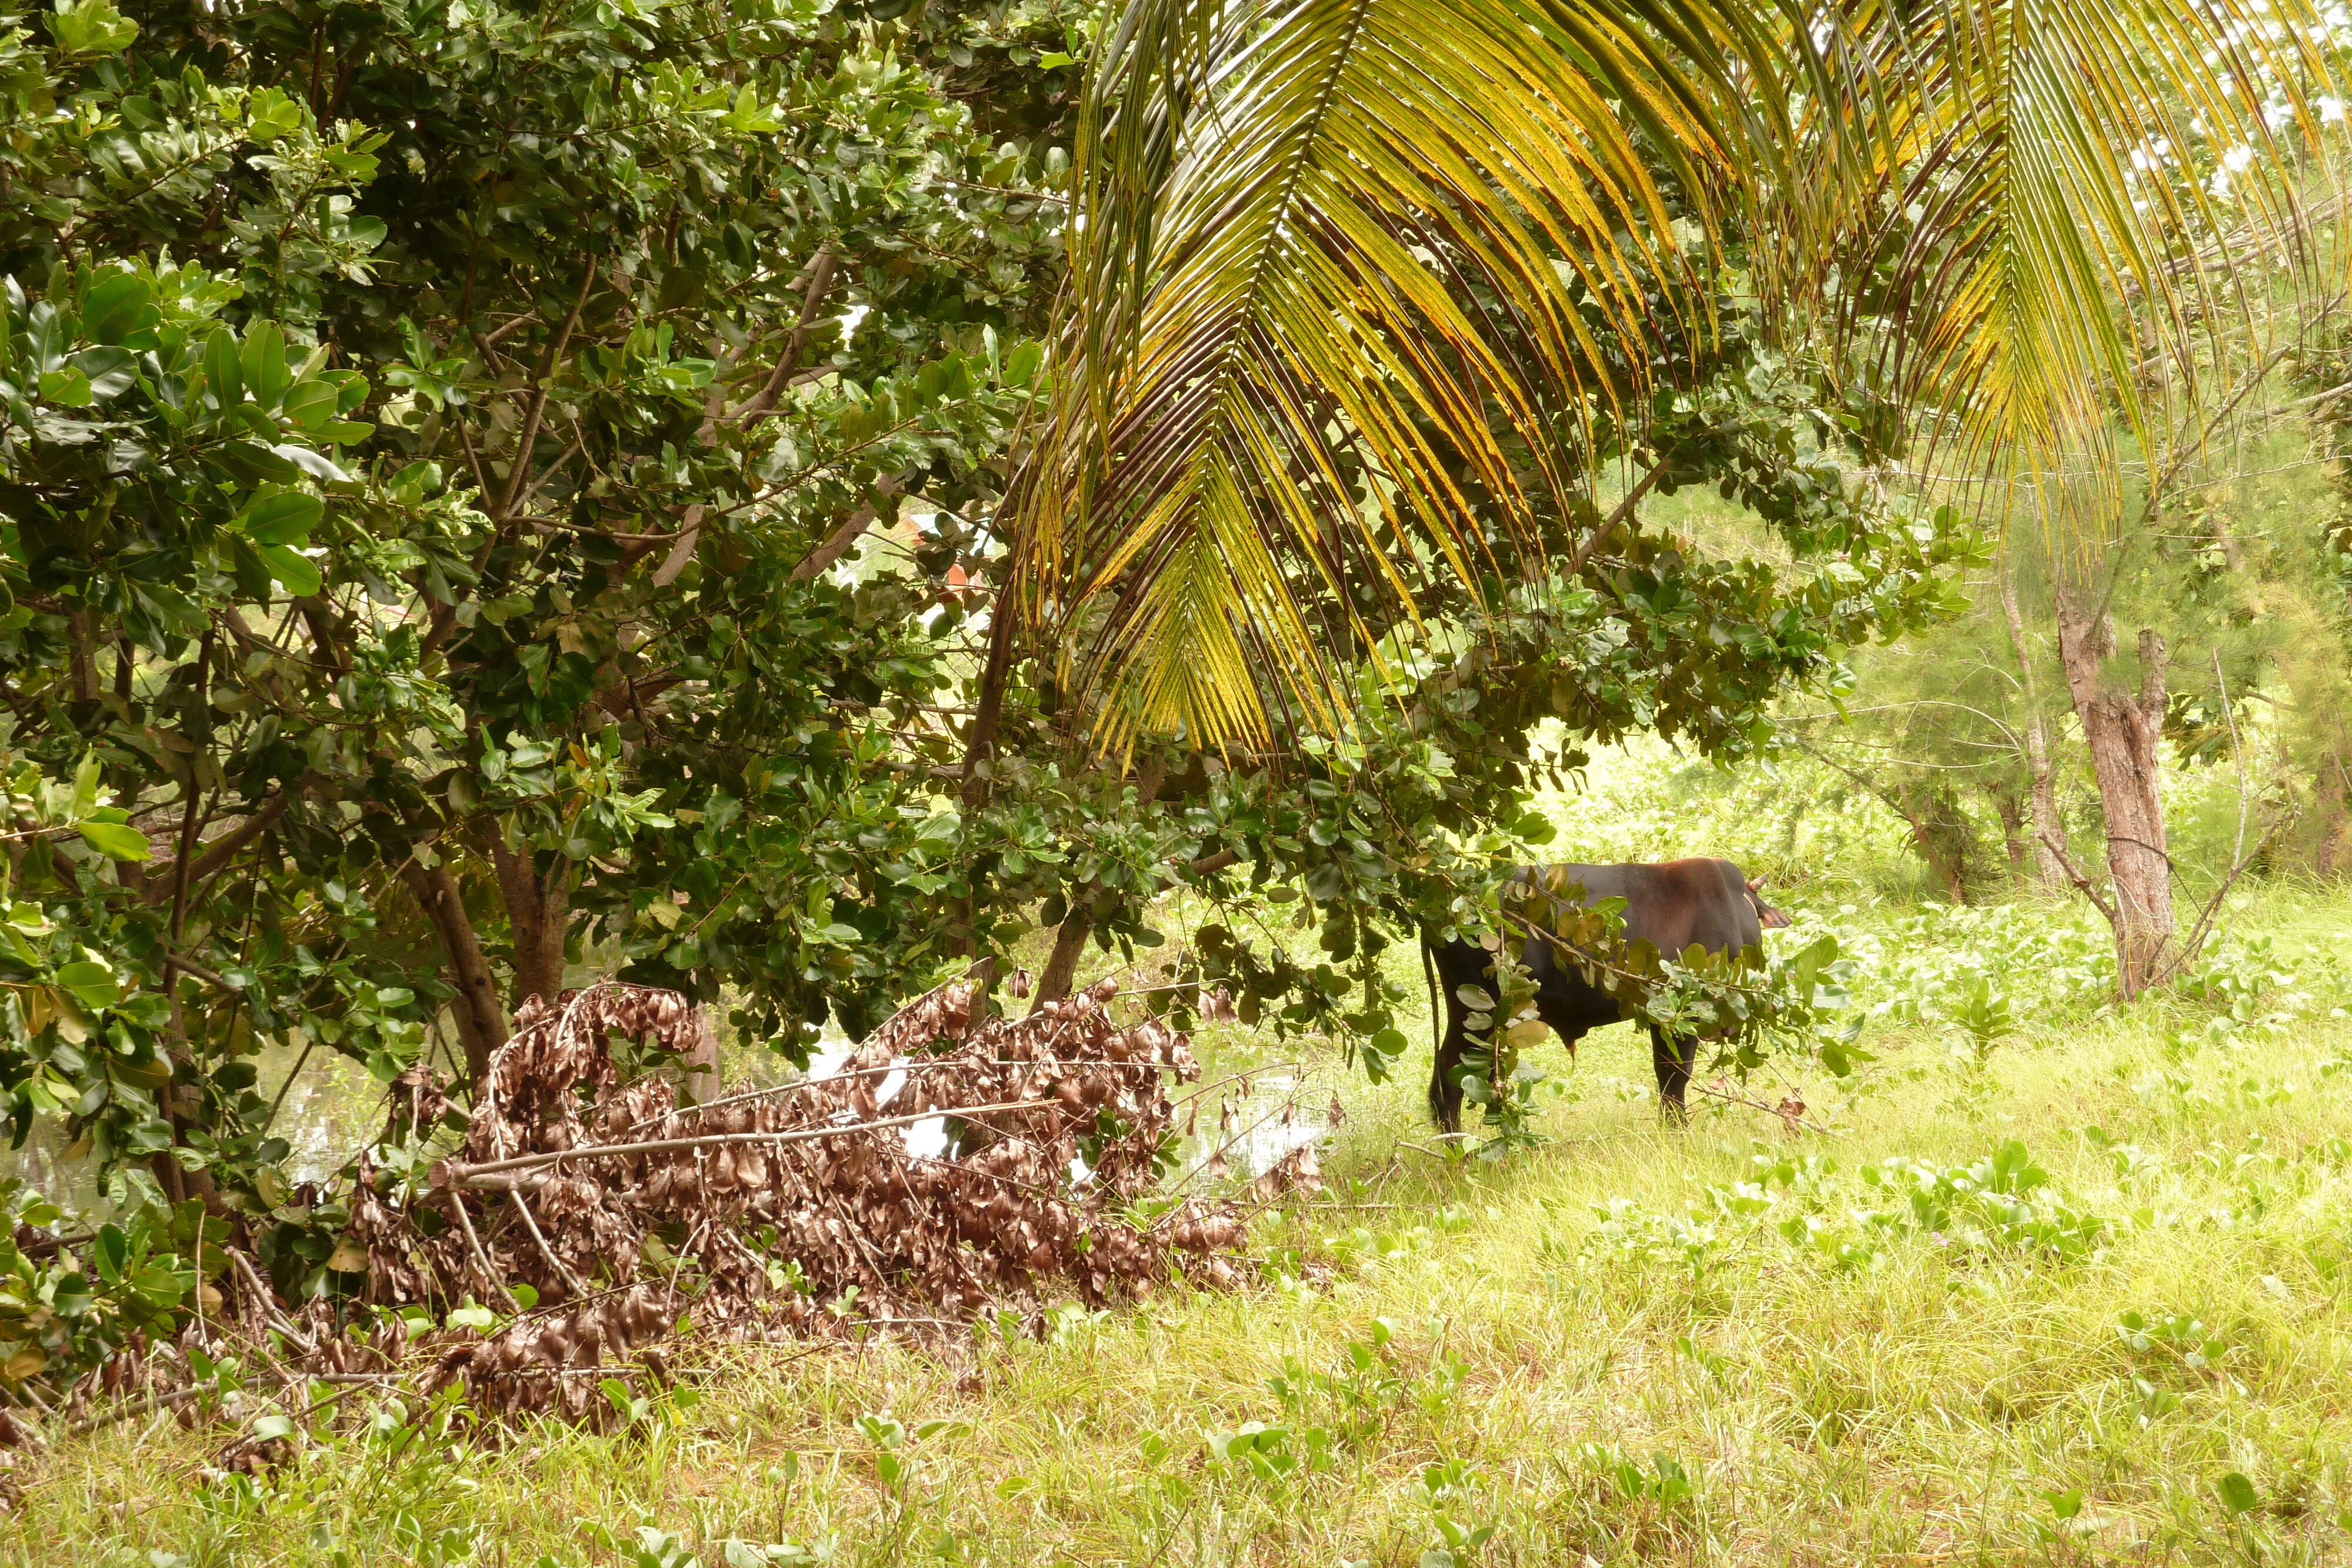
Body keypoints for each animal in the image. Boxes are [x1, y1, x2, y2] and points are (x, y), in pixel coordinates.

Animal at [1421, 865, 1788, 1133]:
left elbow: (1666, 1075)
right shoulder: (1684, 1016)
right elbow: (1676, 1076)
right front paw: (1678, 1129)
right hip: (1481, 1014)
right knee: (1451, 1078)